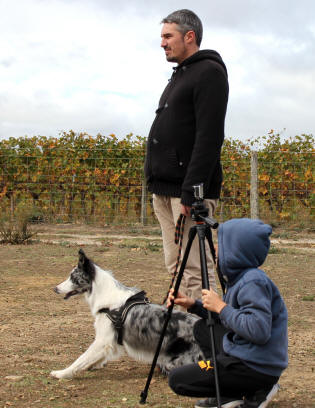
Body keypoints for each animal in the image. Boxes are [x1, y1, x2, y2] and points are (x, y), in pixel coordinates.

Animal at [51, 249, 205, 380]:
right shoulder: (110, 341)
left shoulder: (103, 340)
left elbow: (81, 359)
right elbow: (94, 358)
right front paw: (93, 365)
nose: (55, 288)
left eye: (72, 277)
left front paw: (62, 373)